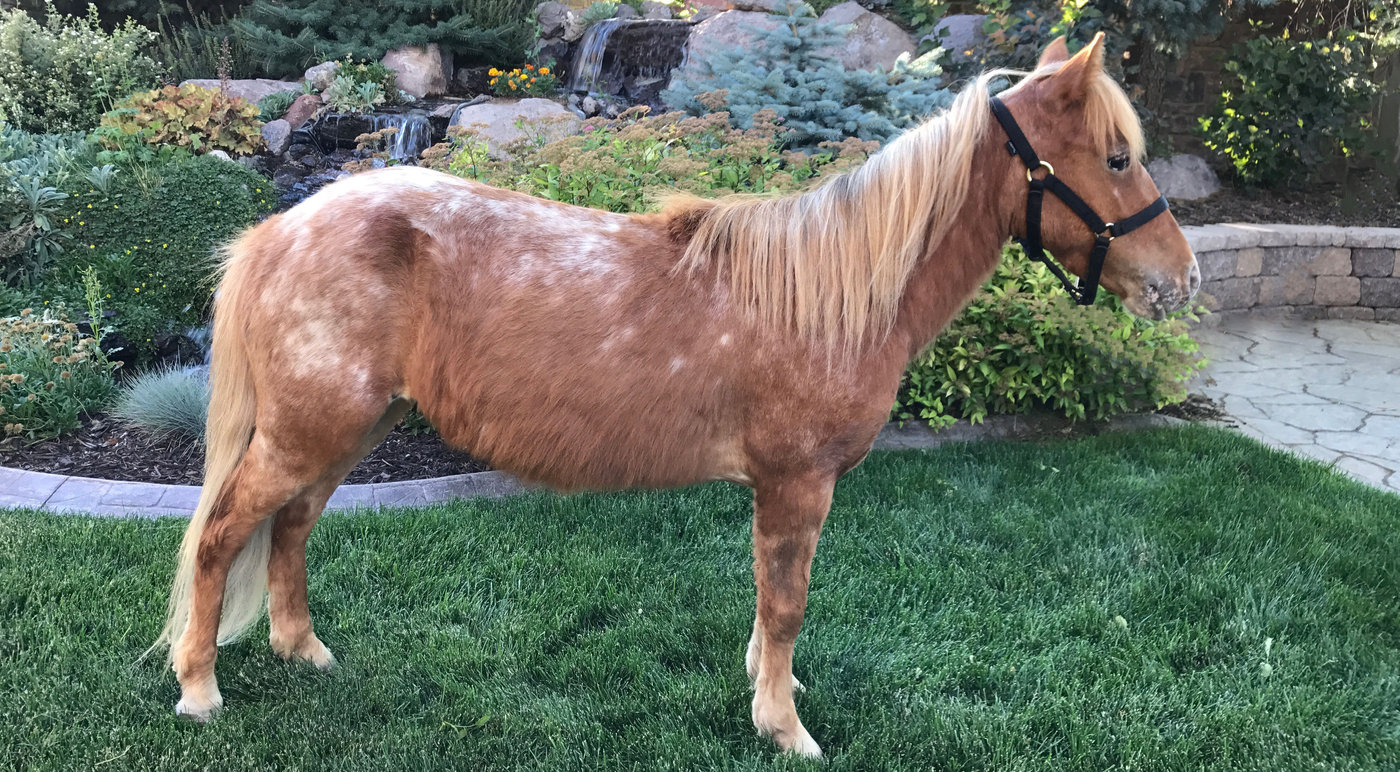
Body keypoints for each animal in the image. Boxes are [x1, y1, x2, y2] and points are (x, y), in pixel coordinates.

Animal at [151, 34, 1199, 757]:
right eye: (1115, 157)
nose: (1180, 281)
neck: (834, 293)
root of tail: (281, 228)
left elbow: (768, 608)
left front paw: (773, 694)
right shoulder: (796, 484)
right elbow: (787, 603)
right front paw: (784, 729)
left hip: (348, 431)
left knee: (290, 529)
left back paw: (304, 653)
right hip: (308, 433)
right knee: (222, 536)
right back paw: (199, 690)